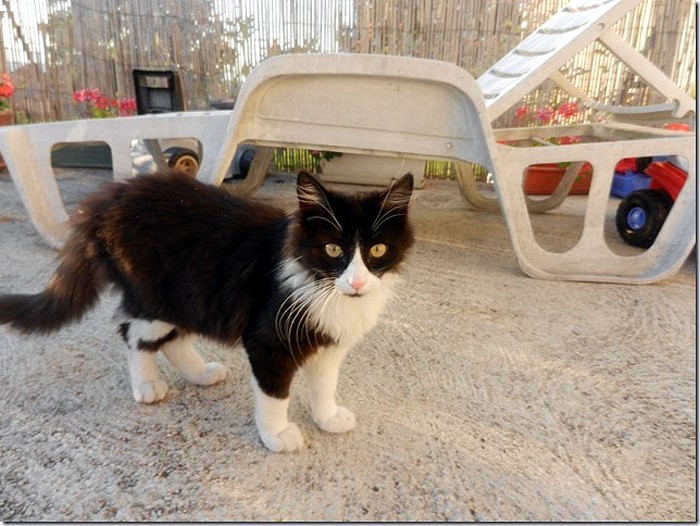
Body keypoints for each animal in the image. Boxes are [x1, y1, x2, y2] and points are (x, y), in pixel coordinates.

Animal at [0, 170, 414, 452]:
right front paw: (276, 434)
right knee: (133, 333)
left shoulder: (329, 342)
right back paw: (146, 385)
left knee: (172, 339)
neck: (323, 288)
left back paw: (200, 374)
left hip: (191, 294)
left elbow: (325, 382)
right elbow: (274, 394)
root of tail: (111, 195)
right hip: (157, 296)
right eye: (332, 249)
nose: (357, 282)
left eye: (377, 250)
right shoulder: (269, 339)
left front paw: (327, 417)